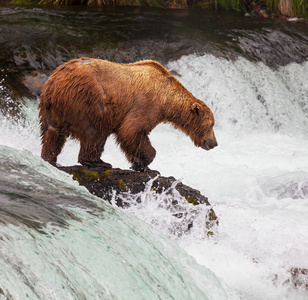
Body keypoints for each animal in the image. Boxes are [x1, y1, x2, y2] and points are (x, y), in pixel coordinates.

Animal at [38, 57, 217, 172]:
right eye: (211, 124)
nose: (214, 143)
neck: (166, 98)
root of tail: (55, 83)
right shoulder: (145, 104)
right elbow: (131, 131)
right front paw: (143, 162)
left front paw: (141, 164)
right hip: (89, 100)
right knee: (95, 132)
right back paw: (99, 162)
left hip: (51, 110)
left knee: (53, 133)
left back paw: (50, 159)